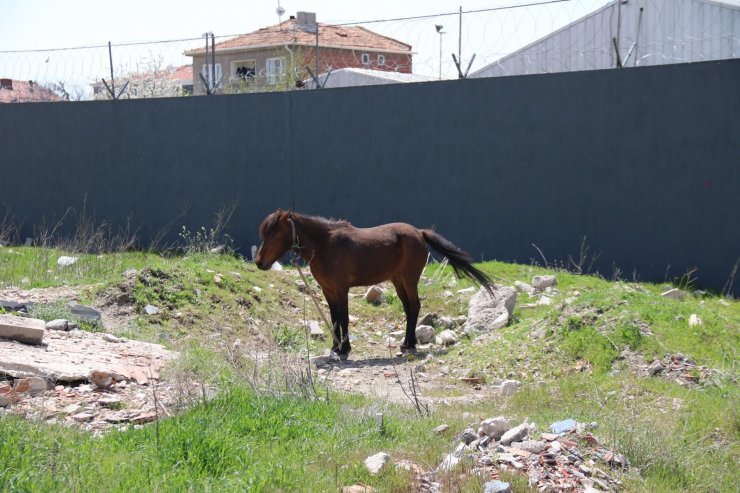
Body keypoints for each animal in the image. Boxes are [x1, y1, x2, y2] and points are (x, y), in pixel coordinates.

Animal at [254, 209, 492, 358]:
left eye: (274, 234)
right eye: (264, 233)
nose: (259, 262)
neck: (325, 245)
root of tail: (419, 233)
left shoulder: (341, 289)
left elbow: (344, 318)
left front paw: (345, 349)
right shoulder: (328, 290)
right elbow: (334, 319)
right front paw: (335, 346)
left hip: (409, 279)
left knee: (415, 307)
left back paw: (410, 344)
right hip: (397, 280)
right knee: (408, 308)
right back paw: (406, 342)